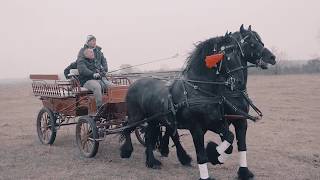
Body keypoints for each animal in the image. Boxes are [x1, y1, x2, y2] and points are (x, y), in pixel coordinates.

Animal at [160, 24, 278, 179]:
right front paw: (215, 155)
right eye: (251, 42)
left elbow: (240, 145)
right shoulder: (222, 121)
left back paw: (168, 151)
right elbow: (228, 143)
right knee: (172, 133)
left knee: (170, 131)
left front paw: (243, 171)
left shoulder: (240, 120)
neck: (232, 91)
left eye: (261, 42)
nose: (272, 57)